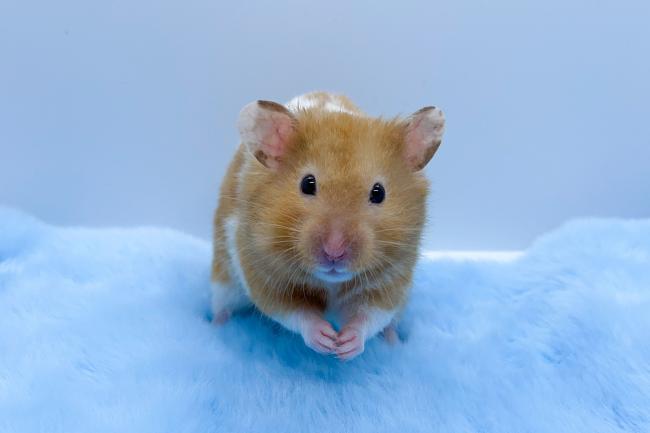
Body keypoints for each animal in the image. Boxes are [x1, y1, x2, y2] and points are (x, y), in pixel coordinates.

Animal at [211, 91, 445, 360]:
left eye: (379, 192)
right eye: (307, 183)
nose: (335, 252)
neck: (331, 283)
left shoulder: (393, 279)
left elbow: (370, 315)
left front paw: (344, 345)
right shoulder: (260, 272)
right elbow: (294, 312)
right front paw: (326, 340)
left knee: (389, 324)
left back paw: (394, 342)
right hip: (223, 281)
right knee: (222, 307)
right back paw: (214, 331)